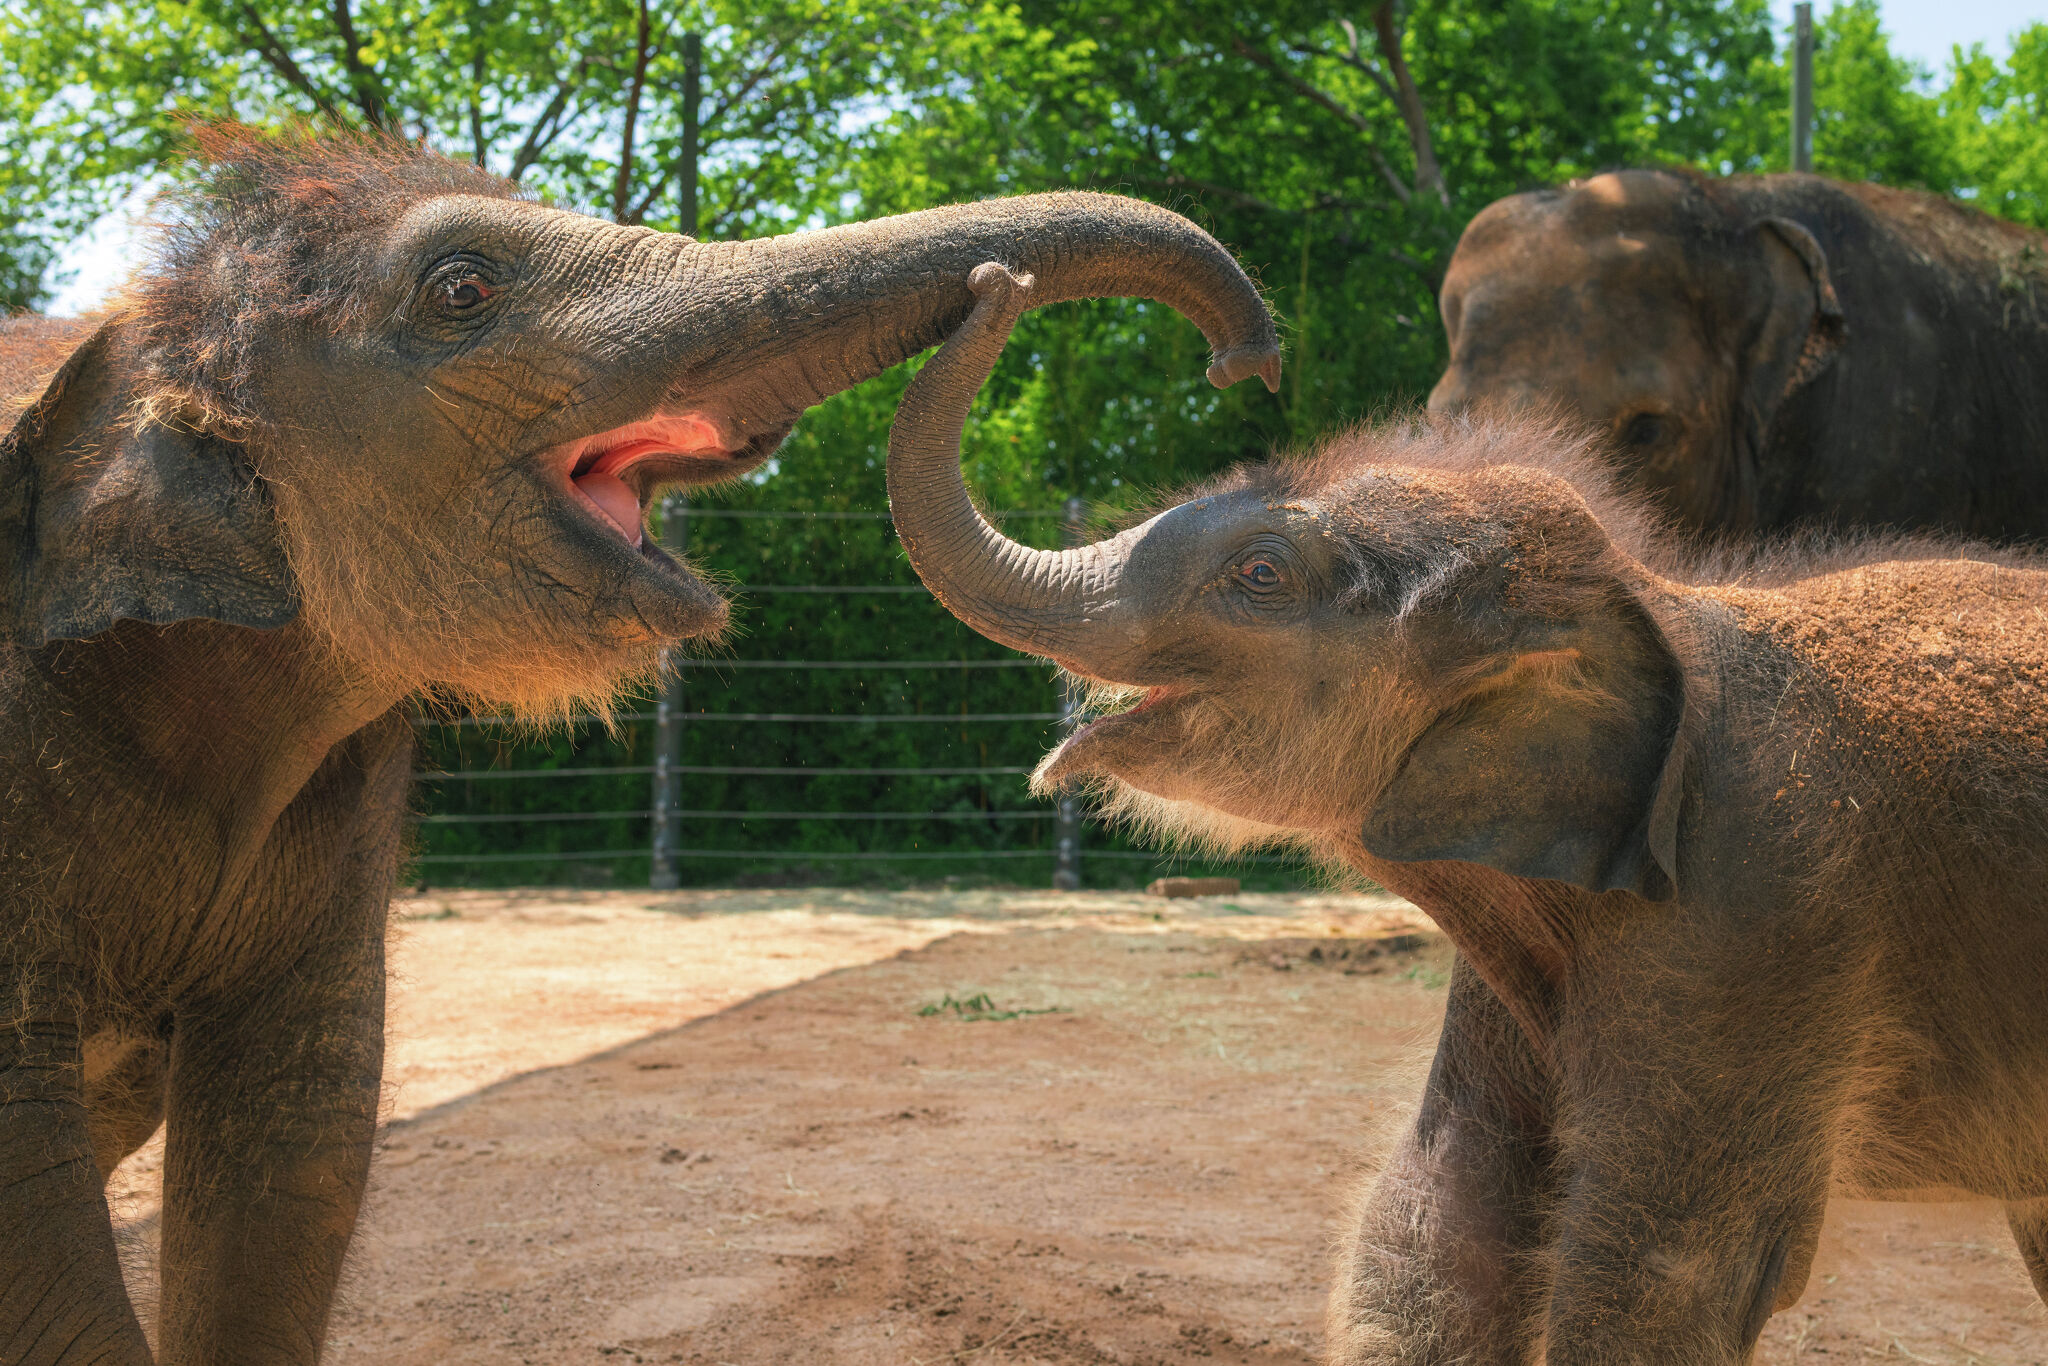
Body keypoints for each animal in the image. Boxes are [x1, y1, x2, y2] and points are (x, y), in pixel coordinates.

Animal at [885, 261, 2048, 1362]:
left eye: (1260, 573)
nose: (1000, 280)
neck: (1652, 600)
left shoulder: (1764, 916)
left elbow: (1665, 1271)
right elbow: (1443, 1218)